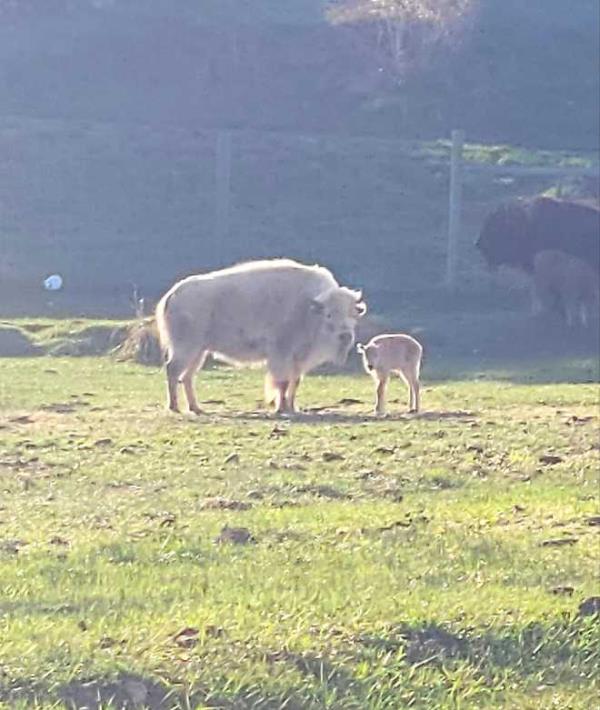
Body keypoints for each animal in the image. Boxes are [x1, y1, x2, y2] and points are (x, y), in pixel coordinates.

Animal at [155, 260, 366, 418]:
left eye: (353, 314)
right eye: (329, 315)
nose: (346, 335)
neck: (308, 308)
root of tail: (172, 295)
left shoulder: (298, 358)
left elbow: (294, 382)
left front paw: (292, 407)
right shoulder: (281, 353)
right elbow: (282, 382)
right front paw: (281, 408)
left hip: (199, 351)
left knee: (187, 376)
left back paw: (196, 408)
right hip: (186, 348)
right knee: (173, 370)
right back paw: (175, 407)